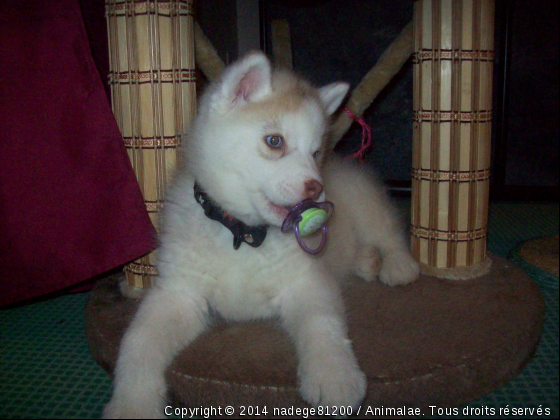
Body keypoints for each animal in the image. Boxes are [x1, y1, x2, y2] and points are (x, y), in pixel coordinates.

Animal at [104, 51, 420, 416]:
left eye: (315, 153)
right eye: (274, 141)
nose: (317, 189)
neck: (242, 233)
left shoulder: (306, 281)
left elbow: (322, 323)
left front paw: (334, 375)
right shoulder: (178, 292)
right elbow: (137, 341)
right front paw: (131, 404)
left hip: (365, 200)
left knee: (388, 233)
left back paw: (397, 266)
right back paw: (367, 261)